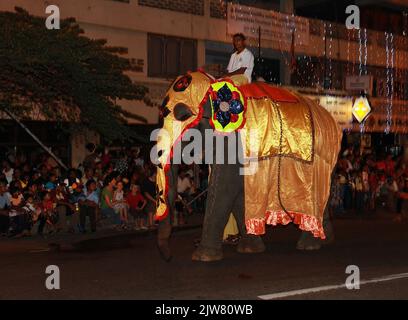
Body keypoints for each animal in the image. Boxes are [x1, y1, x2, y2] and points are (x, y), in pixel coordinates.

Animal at [153, 71, 342, 262]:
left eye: (183, 116)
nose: (169, 258)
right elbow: (238, 193)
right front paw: (251, 249)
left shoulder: (232, 141)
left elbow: (224, 190)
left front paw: (203, 257)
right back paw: (326, 239)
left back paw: (309, 245)